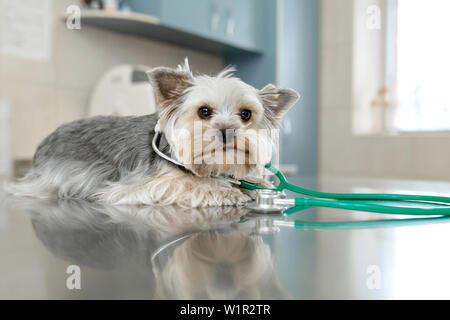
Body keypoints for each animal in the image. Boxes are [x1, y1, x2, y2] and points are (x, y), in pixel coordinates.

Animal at [5, 59, 298, 208]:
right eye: (204, 111)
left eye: (246, 114)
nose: (227, 132)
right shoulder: (139, 187)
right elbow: (185, 184)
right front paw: (225, 192)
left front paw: (258, 184)